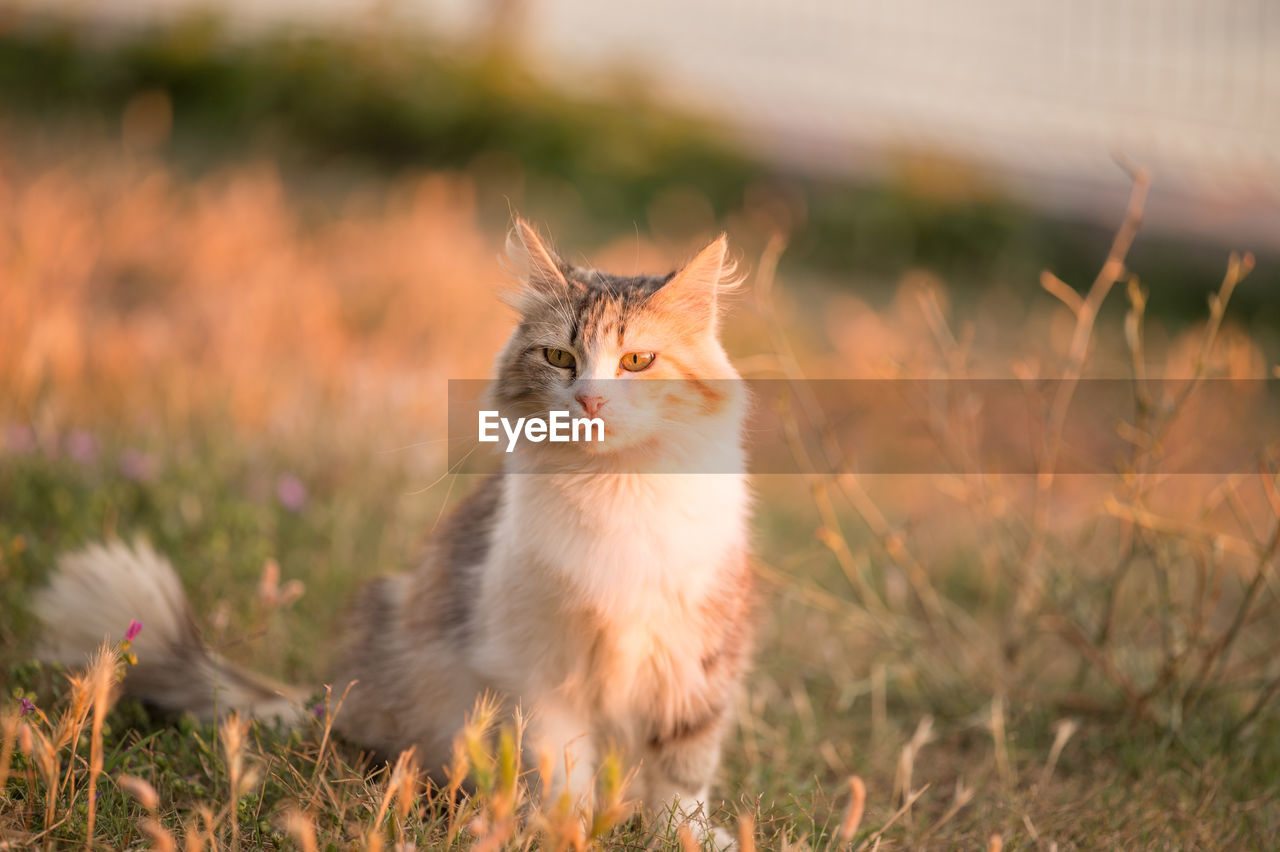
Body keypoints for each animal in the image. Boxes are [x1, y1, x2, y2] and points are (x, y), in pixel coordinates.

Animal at [32, 216, 747, 839]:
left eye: (638, 361)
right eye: (560, 357)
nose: (591, 401)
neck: (614, 490)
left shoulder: (699, 660)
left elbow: (682, 776)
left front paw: (687, 836)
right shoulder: (539, 668)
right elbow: (560, 770)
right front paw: (559, 831)